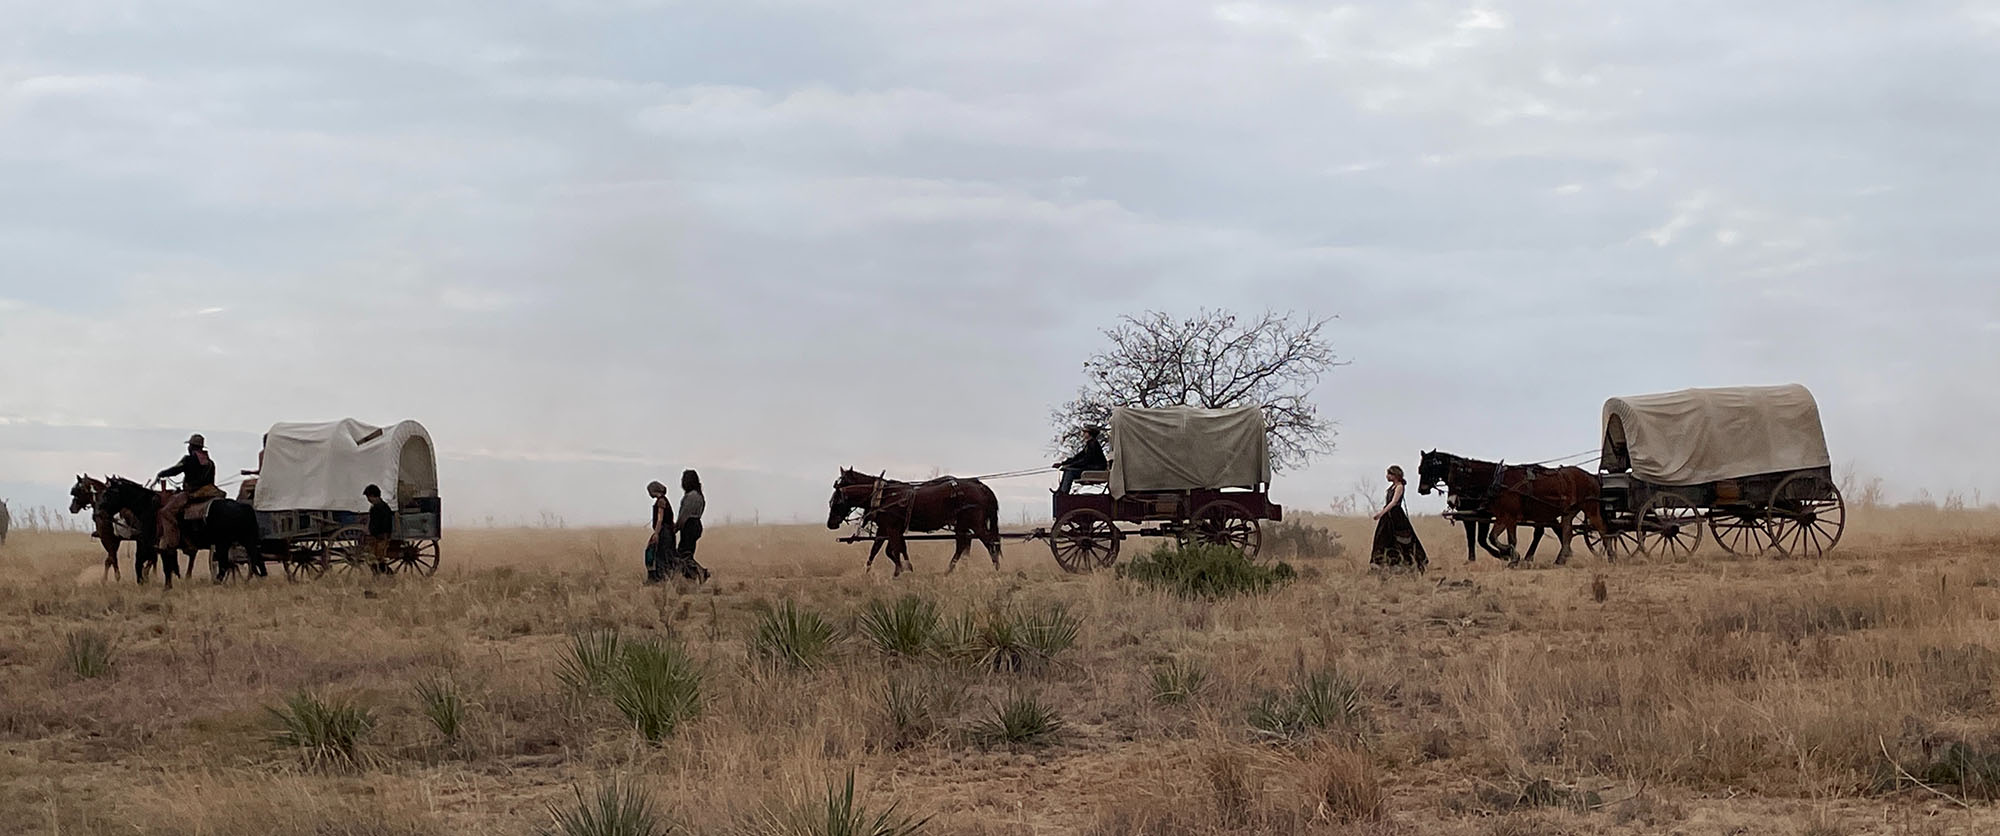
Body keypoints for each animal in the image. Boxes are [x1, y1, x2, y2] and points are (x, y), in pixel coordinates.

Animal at [824, 466, 1000, 580]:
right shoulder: (886, 528)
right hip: (962, 524)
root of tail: (980, 486)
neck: (884, 495)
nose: (831, 524)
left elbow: (894, 550)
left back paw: (996, 568)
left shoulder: (892, 527)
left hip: (974, 523)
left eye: (837, 501)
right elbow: (882, 550)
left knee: (989, 542)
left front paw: (901, 571)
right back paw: (951, 570)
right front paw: (875, 571)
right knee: (963, 545)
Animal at [1408, 450, 1608, 568]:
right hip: (1561, 512)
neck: (1495, 482)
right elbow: (1490, 538)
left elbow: (1498, 539)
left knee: (1599, 528)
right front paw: (1508, 554)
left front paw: (1509, 555)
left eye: (1428, 467)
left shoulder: (1506, 517)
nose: (1422, 490)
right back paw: (1559, 557)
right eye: (1419, 468)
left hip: (1588, 508)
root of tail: (1591, 477)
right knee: (1563, 531)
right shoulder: (1500, 517)